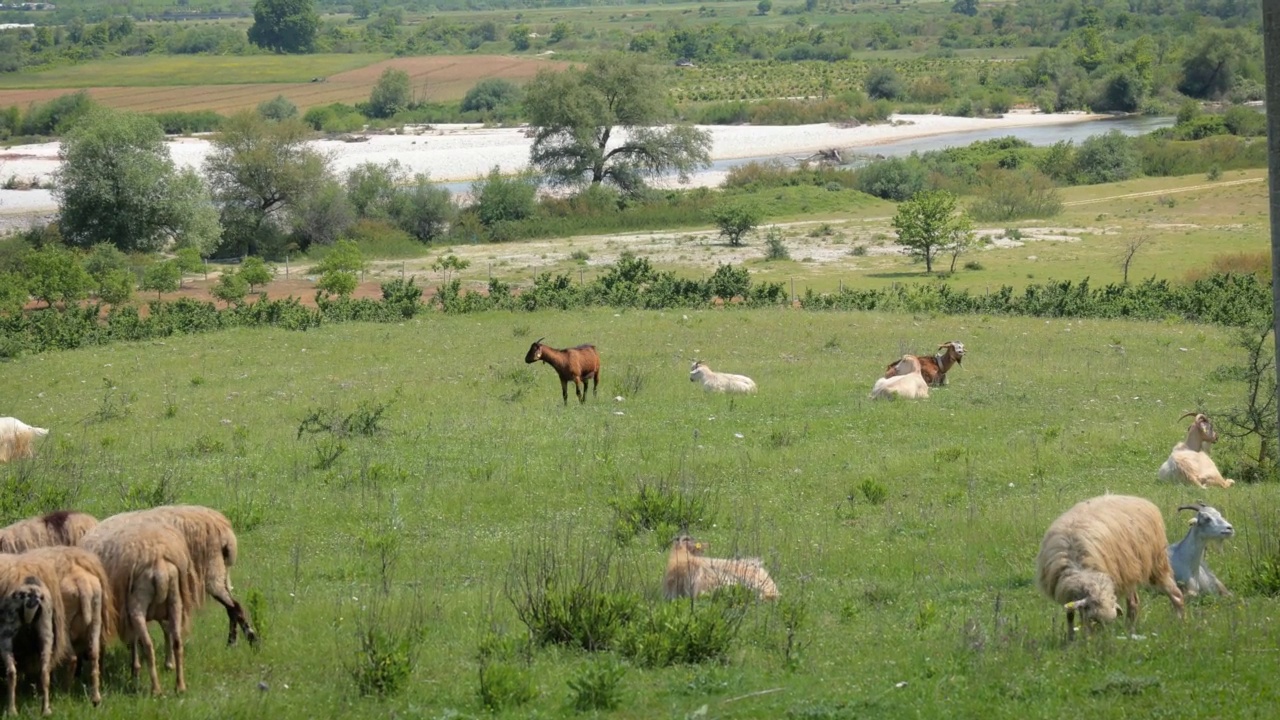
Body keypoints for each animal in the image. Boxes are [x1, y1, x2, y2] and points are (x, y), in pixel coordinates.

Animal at [1034, 491, 1182, 638]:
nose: (1099, 641)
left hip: (1154, 563)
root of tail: (1141, 501)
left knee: (1175, 594)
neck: (1081, 569)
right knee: (1134, 602)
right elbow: (1070, 615)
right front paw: (1071, 639)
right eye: (1092, 619)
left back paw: (1180, 621)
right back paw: (1130, 630)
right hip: (1129, 569)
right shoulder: (1067, 591)